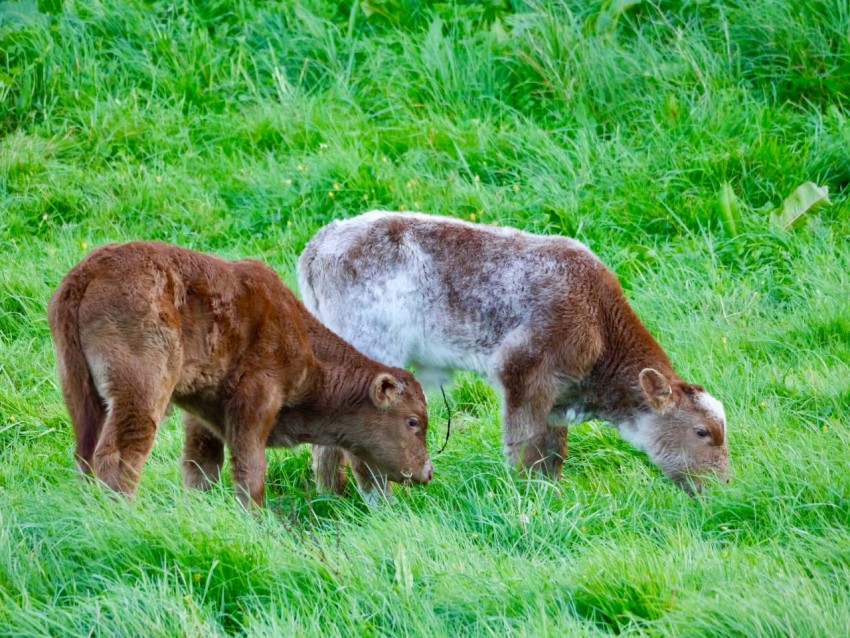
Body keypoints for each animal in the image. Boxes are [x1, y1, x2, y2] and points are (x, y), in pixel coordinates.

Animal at [298, 210, 728, 496]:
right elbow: (525, 448)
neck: (600, 321)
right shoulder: (522, 372)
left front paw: (551, 494)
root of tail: (320, 243)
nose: (724, 485)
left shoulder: (556, 396)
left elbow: (553, 453)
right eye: (701, 431)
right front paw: (526, 496)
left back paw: (331, 495)